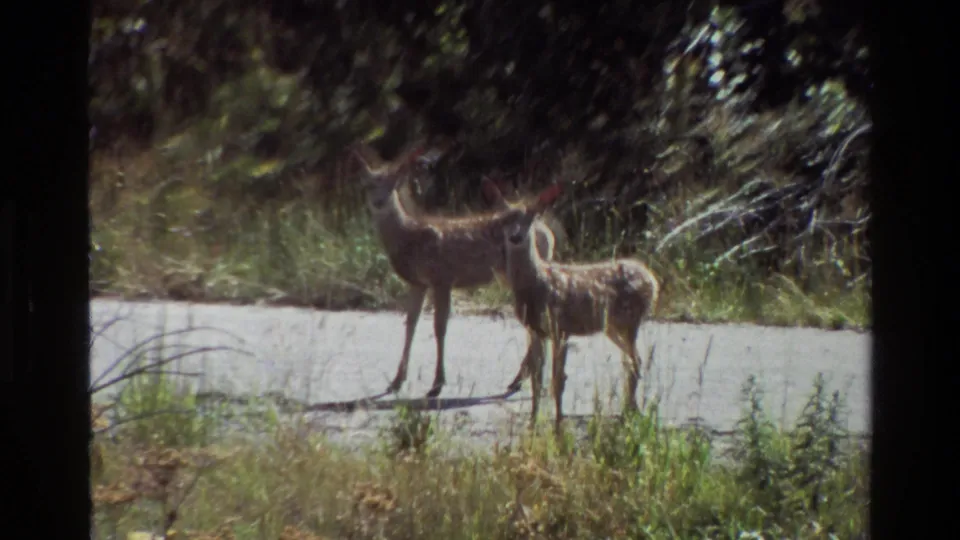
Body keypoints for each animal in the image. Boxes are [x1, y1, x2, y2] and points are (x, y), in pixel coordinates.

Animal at [351, 141, 563, 399]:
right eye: (367, 185)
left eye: (394, 184)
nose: (379, 202)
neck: (409, 236)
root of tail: (547, 233)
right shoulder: (418, 283)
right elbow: (410, 324)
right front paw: (396, 381)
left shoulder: (442, 277)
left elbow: (439, 326)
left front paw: (437, 384)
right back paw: (520, 380)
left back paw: (523, 380)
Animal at [496, 205, 660, 435]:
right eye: (504, 221)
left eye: (529, 221)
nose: (514, 237)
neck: (536, 284)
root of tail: (653, 282)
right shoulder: (538, 331)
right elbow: (538, 379)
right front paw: (533, 421)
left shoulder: (561, 329)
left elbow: (557, 379)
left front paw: (558, 424)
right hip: (612, 327)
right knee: (632, 361)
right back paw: (629, 410)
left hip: (629, 322)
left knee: (634, 360)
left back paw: (628, 412)